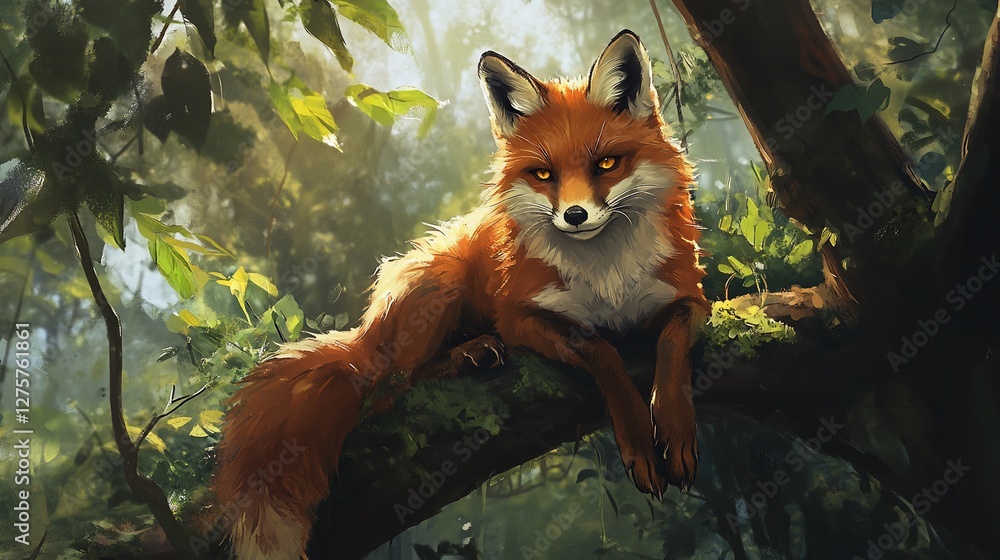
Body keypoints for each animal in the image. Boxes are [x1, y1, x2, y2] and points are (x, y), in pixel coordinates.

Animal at [215, 29, 710, 559]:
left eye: (606, 164)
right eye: (544, 175)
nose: (574, 216)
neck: (607, 276)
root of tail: (364, 333)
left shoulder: (689, 298)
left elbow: (672, 346)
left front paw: (676, 428)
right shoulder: (521, 316)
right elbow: (603, 353)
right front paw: (638, 438)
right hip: (442, 282)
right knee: (389, 386)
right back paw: (468, 353)